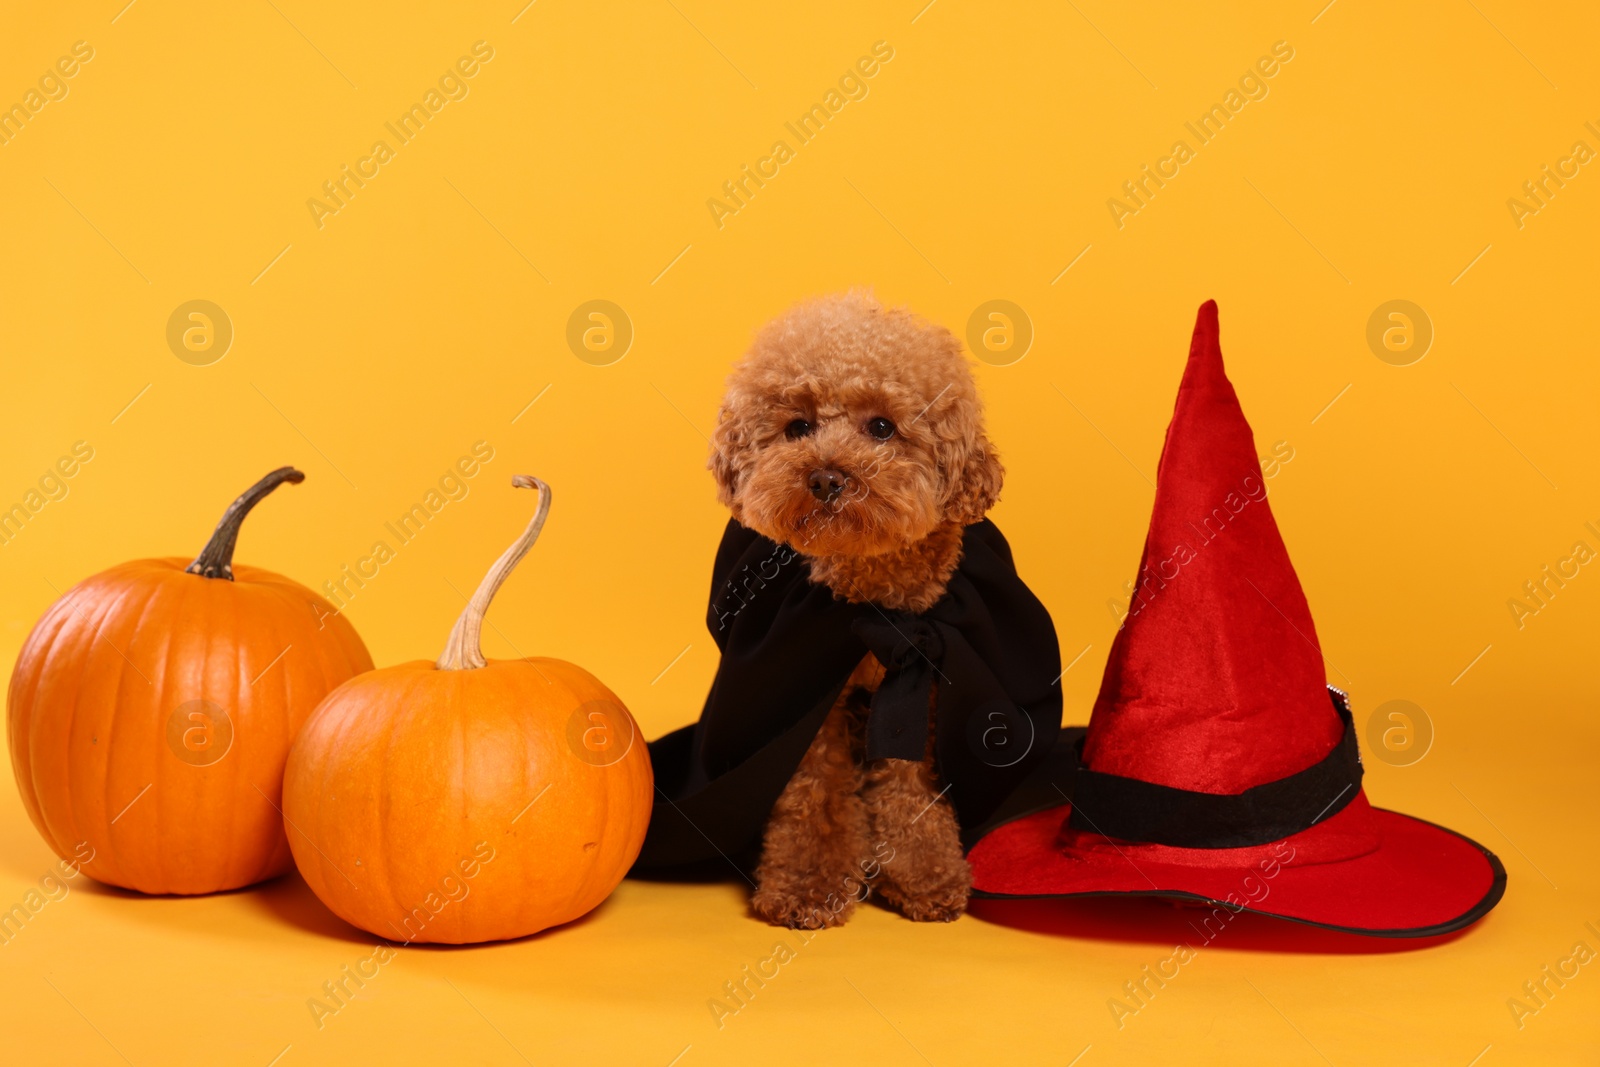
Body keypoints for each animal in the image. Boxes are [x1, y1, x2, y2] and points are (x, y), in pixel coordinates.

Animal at [710, 289, 998, 927]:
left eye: (882, 427)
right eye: (797, 427)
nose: (824, 477)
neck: (868, 596)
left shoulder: (917, 688)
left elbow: (911, 787)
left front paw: (925, 876)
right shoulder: (816, 700)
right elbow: (812, 793)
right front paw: (808, 888)